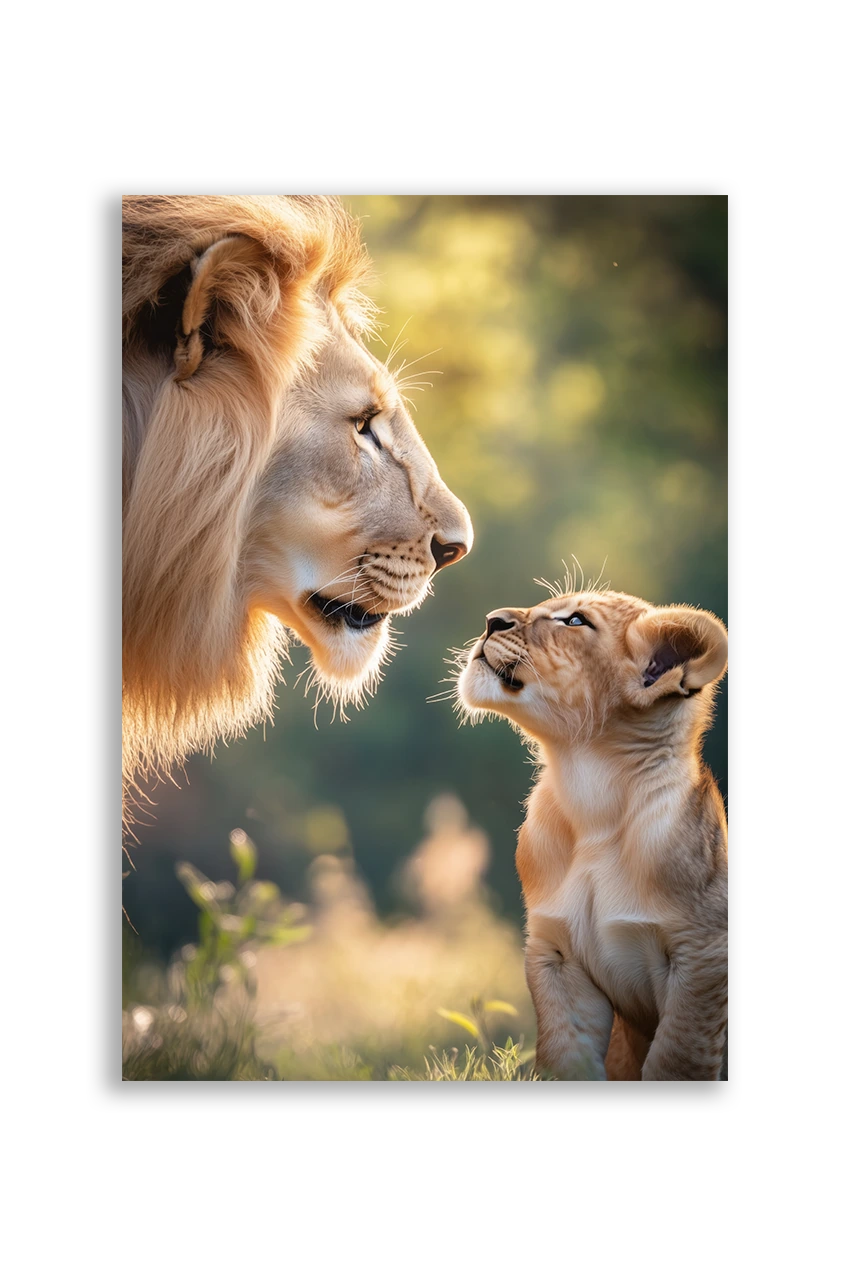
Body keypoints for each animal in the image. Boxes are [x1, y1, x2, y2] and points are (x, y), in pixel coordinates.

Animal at [456, 584, 728, 1080]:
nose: (491, 620)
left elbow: (676, 1061)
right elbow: (567, 1059)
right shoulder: (557, 955)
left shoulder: (702, 957)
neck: (591, 803)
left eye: (576, 621)